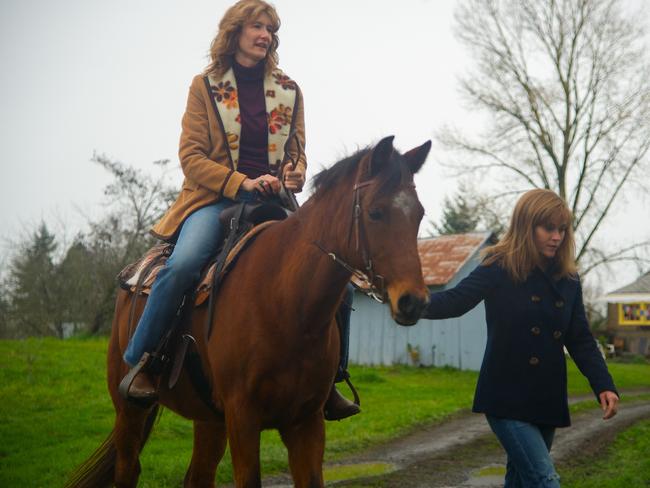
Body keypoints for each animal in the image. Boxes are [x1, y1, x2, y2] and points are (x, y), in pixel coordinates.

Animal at [66, 136, 430, 488]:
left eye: (420, 214)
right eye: (375, 212)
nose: (413, 301)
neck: (285, 303)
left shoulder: (306, 421)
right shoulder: (242, 417)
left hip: (209, 418)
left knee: (197, 477)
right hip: (129, 408)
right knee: (128, 469)